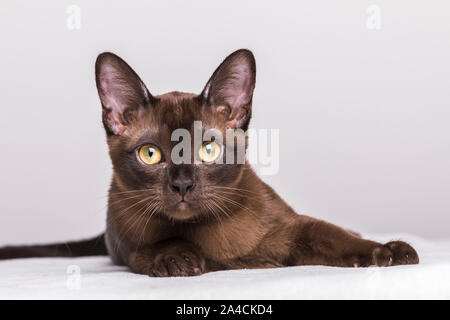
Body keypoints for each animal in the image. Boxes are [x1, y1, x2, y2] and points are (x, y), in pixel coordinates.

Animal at [0, 49, 418, 276]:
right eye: (150, 154)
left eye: (208, 150)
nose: (183, 184)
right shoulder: (130, 244)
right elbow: (163, 241)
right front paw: (179, 260)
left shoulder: (294, 230)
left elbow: (335, 235)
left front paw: (390, 252)